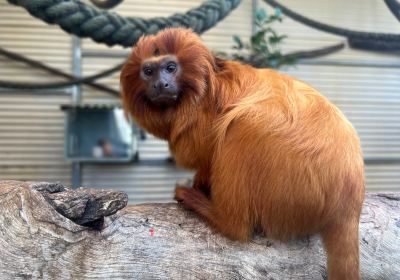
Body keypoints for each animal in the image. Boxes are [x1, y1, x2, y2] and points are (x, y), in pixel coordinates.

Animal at [120, 27, 364, 278]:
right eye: (149, 71)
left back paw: (218, 215)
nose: (161, 84)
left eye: (170, 68)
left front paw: (201, 182)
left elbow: (210, 153)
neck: (195, 94)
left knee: (244, 125)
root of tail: (348, 201)